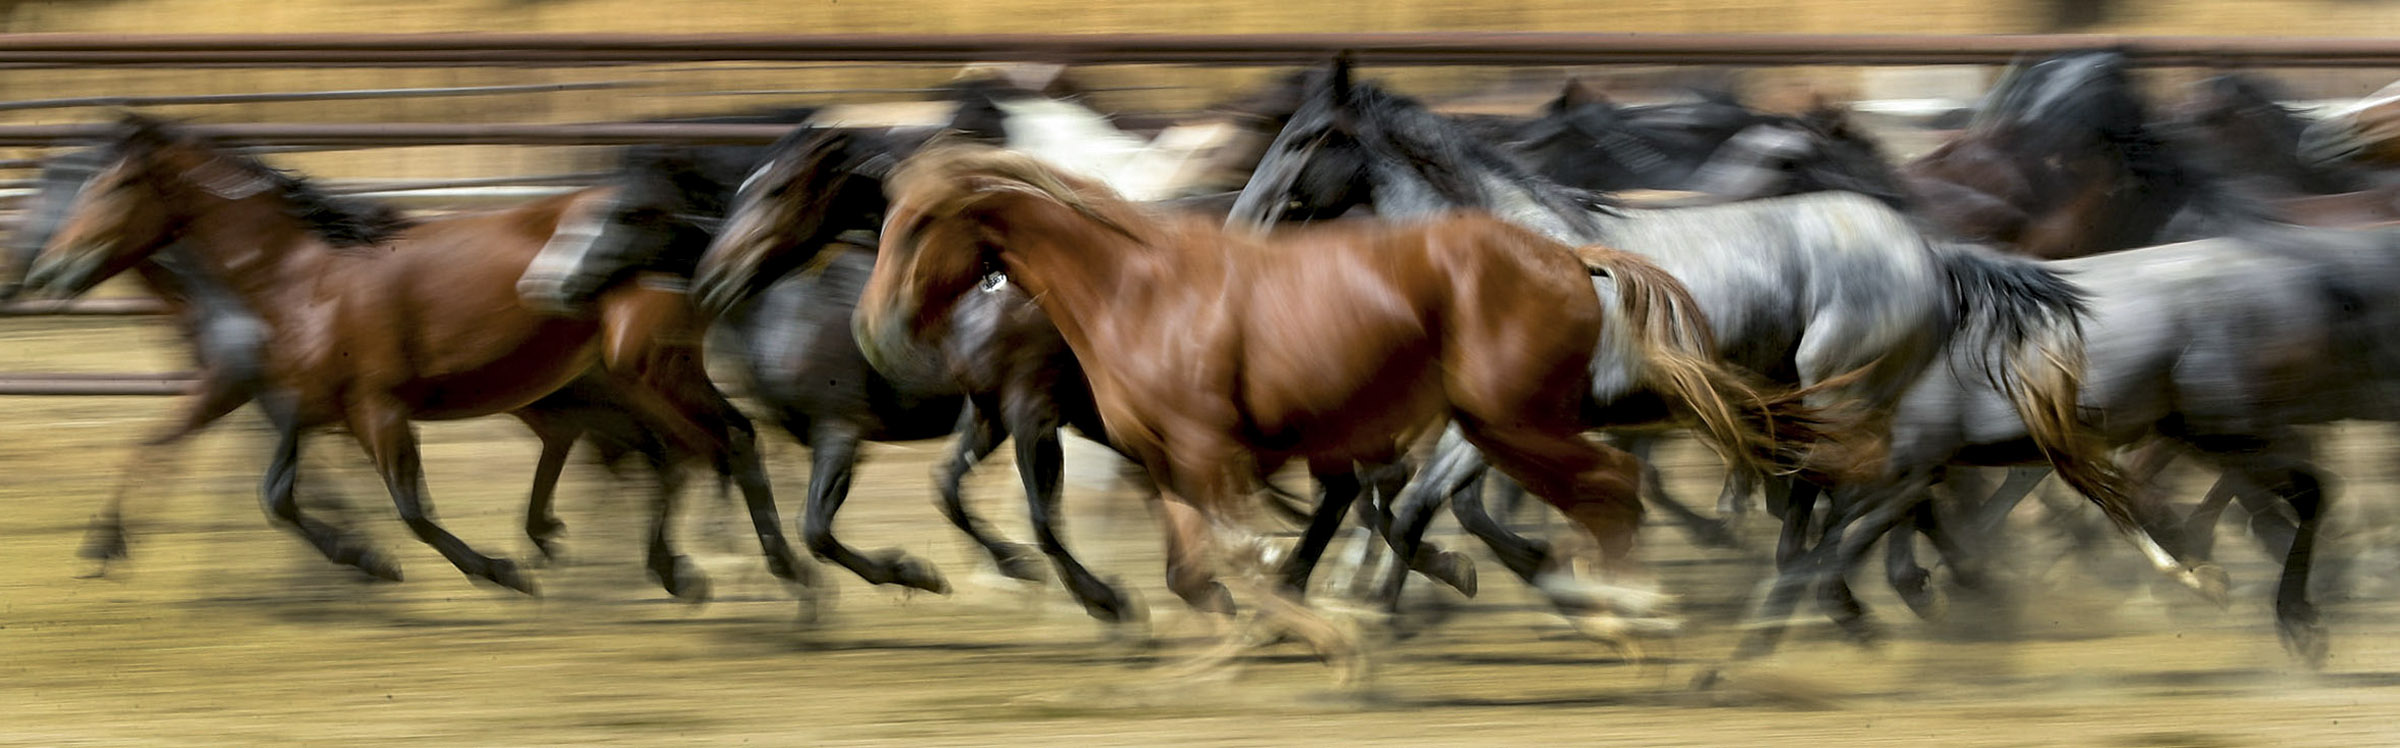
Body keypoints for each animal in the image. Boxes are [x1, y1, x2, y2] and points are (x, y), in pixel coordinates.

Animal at [17, 115, 808, 599]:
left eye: (114, 184)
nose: (49, 269)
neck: (301, 277)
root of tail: (682, 222)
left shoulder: (377, 410)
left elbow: (412, 510)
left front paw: (500, 572)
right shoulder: (306, 409)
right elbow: (277, 495)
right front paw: (365, 560)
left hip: (648, 372)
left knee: (719, 442)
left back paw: (775, 572)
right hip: (602, 383)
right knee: (674, 451)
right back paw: (687, 569)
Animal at [852, 143, 1857, 676]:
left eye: (922, 225)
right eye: (884, 221)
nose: (873, 330)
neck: (1136, 291)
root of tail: (1573, 257)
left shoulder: (1209, 453)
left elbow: (1243, 554)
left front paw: (1328, 638)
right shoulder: (1170, 462)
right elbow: (1196, 567)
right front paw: (1225, 641)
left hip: (1511, 421)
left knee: (1607, 489)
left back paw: (1629, 616)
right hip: (1497, 425)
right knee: (1587, 496)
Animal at [1223, 59, 2205, 644]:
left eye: (1307, 138)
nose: (1240, 220)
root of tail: (1927, 251)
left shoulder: (1511, 422)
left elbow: (1424, 505)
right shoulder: (1495, 424)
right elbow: (1425, 507)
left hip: (1835, 388)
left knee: (1869, 489)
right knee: (1878, 490)